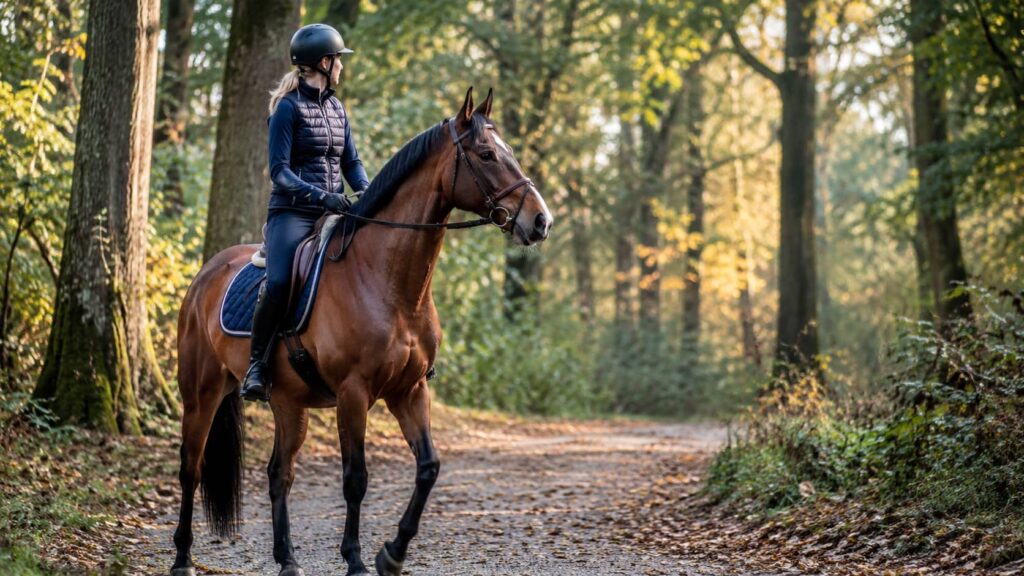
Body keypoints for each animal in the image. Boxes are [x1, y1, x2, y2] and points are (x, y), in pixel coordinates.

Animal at [170, 87, 552, 576]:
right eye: (486, 154)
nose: (540, 221)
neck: (387, 282)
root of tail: (204, 275)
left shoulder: (409, 391)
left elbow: (429, 467)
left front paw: (393, 553)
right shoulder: (353, 393)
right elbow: (355, 479)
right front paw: (354, 558)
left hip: (288, 403)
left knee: (279, 474)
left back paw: (288, 559)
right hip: (201, 393)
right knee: (191, 469)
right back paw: (183, 557)